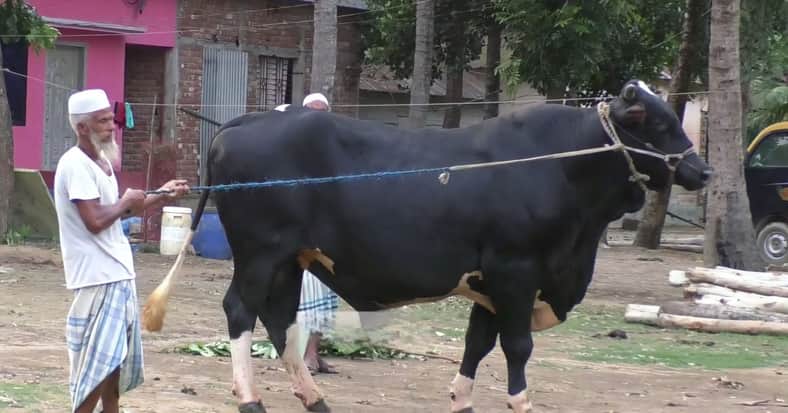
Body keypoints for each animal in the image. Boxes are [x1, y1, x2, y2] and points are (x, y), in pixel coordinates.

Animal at [150, 80, 711, 413]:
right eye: (659, 123)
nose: (701, 170)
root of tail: (249, 120)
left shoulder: (488, 281)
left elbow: (476, 344)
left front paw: (462, 400)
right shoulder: (516, 270)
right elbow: (517, 346)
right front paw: (520, 402)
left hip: (291, 259)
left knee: (280, 319)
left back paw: (313, 397)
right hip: (260, 254)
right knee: (240, 311)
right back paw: (250, 398)